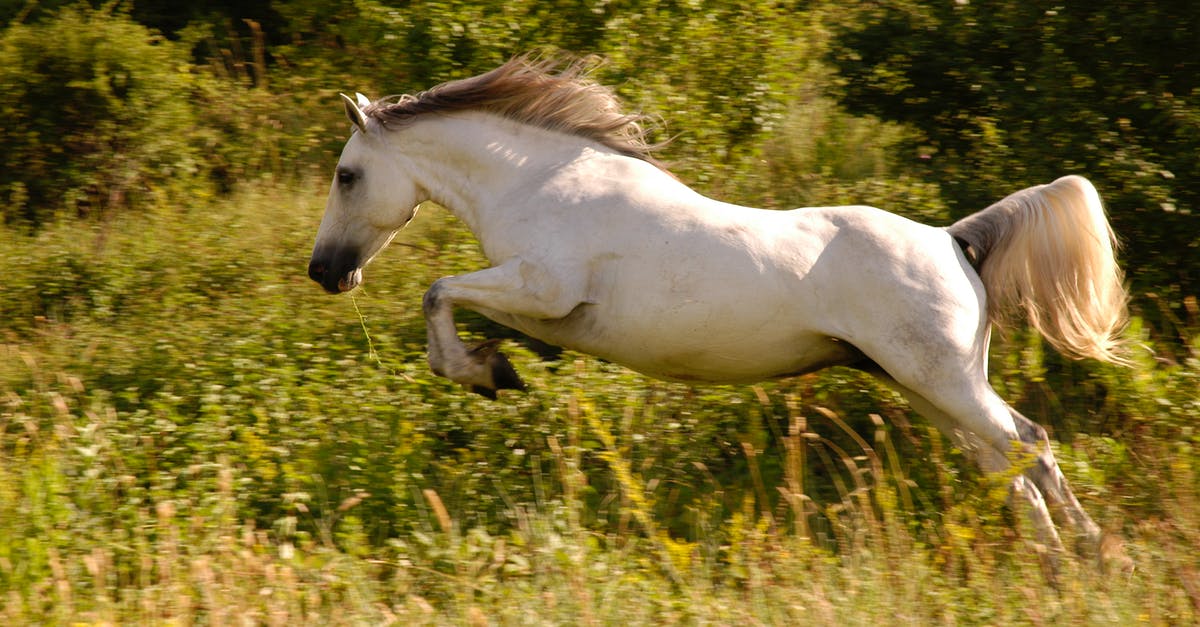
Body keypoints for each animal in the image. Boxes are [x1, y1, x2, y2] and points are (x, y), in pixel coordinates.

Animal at [307, 56, 1123, 550]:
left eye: (347, 175)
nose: (324, 272)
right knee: (1005, 464)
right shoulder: (536, 304)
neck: (541, 182)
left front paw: (481, 371)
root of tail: (953, 239)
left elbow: (438, 291)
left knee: (1031, 444)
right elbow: (462, 307)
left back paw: (1093, 556)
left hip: (943, 382)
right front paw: (494, 366)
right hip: (926, 388)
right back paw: (1051, 562)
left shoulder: (544, 286)